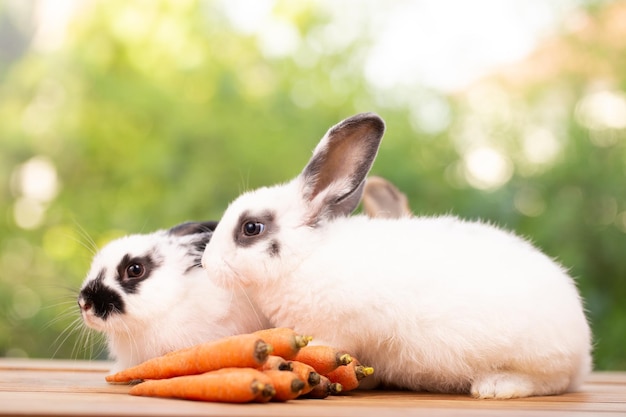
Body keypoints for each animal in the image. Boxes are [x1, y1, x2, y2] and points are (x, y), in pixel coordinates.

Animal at [202, 112, 592, 398]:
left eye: (251, 228)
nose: (206, 263)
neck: (305, 258)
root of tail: (583, 349)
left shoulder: (337, 329)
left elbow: (328, 349)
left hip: (538, 357)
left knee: (551, 382)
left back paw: (494, 387)